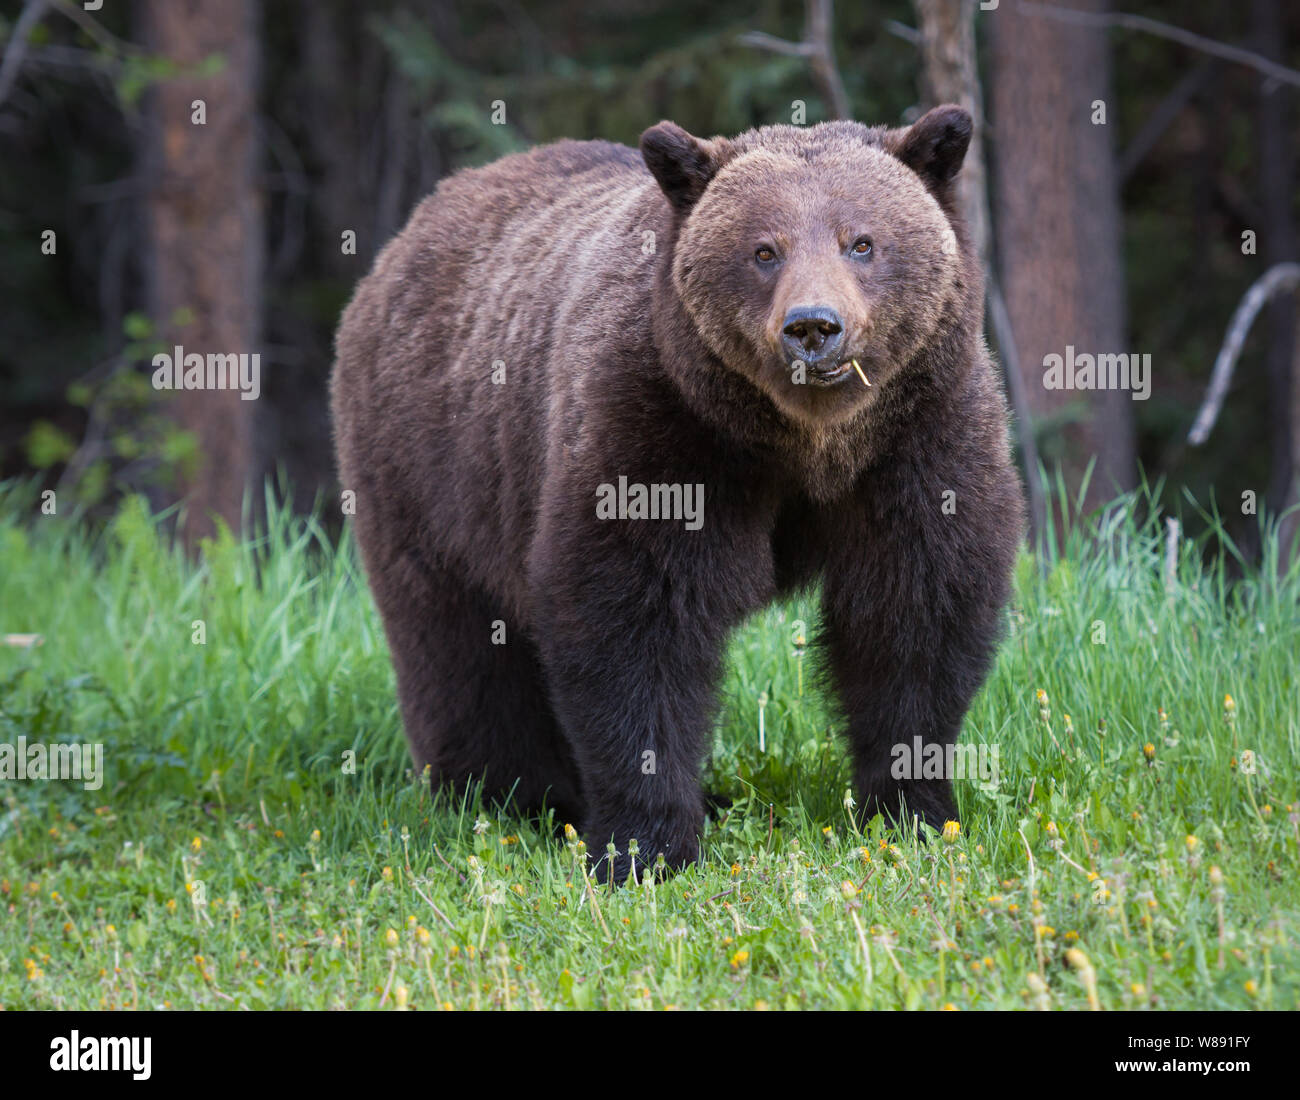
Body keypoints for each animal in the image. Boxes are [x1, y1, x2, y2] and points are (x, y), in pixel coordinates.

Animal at [331, 105, 1025, 883]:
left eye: (863, 242)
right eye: (764, 250)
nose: (813, 326)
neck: (804, 443)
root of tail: (407, 237)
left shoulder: (918, 440)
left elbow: (914, 612)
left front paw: (912, 809)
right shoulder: (660, 428)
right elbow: (635, 620)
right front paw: (645, 844)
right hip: (434, 467)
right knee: (460, 644)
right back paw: (512, 795)